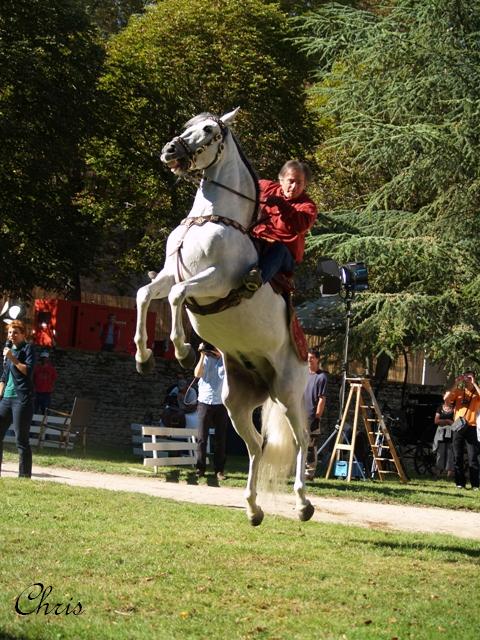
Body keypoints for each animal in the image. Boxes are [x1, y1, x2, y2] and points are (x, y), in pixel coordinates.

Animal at [135, 109, 316, 524]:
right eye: (188, 123)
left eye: (209, 130)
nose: (170, 150)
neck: (210, 219)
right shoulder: (170, 273)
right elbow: (145, 294)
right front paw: (143, 356)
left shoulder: (212, 282)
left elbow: (176, 297)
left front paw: (182, 349)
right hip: (237, 403)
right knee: (256, 446)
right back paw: (253, 508)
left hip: (289, 393)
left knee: (302, 441)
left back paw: (302, 504)